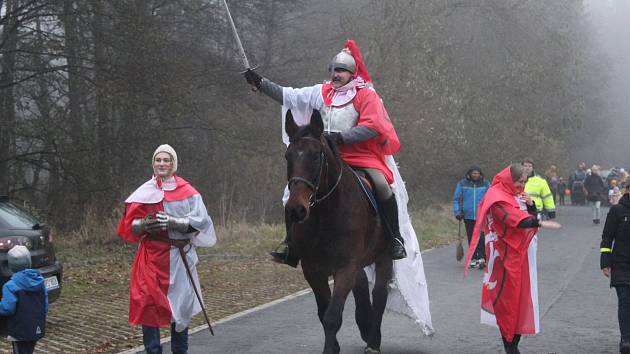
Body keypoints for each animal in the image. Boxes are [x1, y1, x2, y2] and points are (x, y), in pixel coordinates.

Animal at [286, 109, 392, 352]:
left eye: (316, 156)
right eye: (288, 156)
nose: (296, 209)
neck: (326, 215)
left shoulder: (345, 268)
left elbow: (332, 316)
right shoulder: (312, 270)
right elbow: (323, 312)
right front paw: (333, 347)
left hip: (384, 256)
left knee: (379, 294)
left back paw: (373, 341)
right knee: (363, 288)